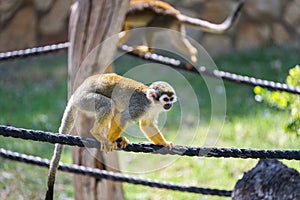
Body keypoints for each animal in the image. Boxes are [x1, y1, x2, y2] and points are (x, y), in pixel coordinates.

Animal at [44, 72, 176, 199]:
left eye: (171, 98)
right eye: (165, 99)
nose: (169, 104)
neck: (151, 103)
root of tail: (75, 96)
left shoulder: (152, 111)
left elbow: (146, 125)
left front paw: (164, 143)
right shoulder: (140, 107)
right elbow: (123, 118)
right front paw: (109, 140)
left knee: (115, 109)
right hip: (85, 100)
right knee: (109, 104)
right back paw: (97, 133)